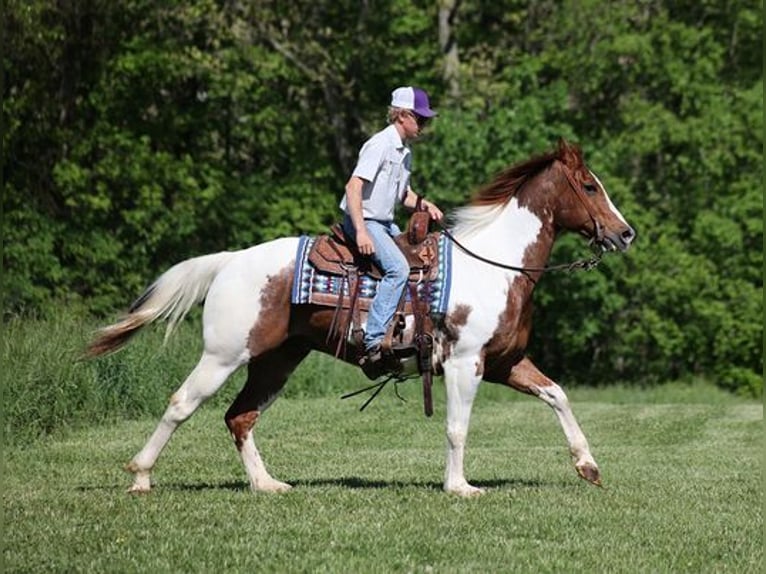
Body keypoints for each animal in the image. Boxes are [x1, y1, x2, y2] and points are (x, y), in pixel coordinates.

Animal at [87, 139, 635, 496]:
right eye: (589, 186)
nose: (625, 233)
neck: (495, 266)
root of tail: (228, 260)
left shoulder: (504, 362)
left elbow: (557, 395)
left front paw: (588, 466)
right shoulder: (465, 364)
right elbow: (457, 427)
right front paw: (460, 487)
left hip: (276, 361)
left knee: (239, 416)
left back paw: (267, 484)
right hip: (224, 354)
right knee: (182, 404)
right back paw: (141, 477)